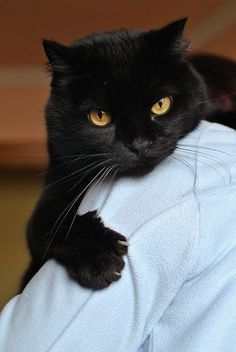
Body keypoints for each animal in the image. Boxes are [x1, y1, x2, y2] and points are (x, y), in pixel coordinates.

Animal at [20, 17, 208, 290]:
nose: (140, 144)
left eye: (161, 104)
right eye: (100, 117)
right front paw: (99, 259)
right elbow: (47, 225)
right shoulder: (54, 190)